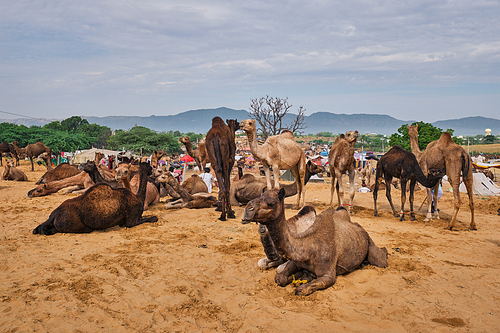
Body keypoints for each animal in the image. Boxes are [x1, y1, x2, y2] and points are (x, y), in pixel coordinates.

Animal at [241, 188, 386, 294]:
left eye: (271, 203)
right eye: (259, 195)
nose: (248, 208)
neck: (308, 246)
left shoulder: (328, 275)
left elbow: (300, 290)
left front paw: (303, 279)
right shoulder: (295, 261)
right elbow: (279, 278)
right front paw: (298, 276)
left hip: (371, 246)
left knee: (380, 260)